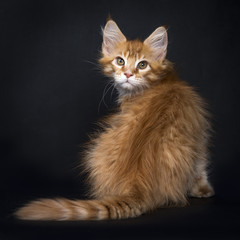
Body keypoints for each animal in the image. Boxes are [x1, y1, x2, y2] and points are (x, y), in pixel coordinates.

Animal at [15, 19, 214, 220]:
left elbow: (200, 167)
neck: (162, 83)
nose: (127, 74)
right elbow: (201, 167)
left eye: (142, 65)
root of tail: (136, 187)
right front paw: (204, 190)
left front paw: (203, 190)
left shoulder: (200, 136)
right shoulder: (199, 136)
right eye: (120, 61)